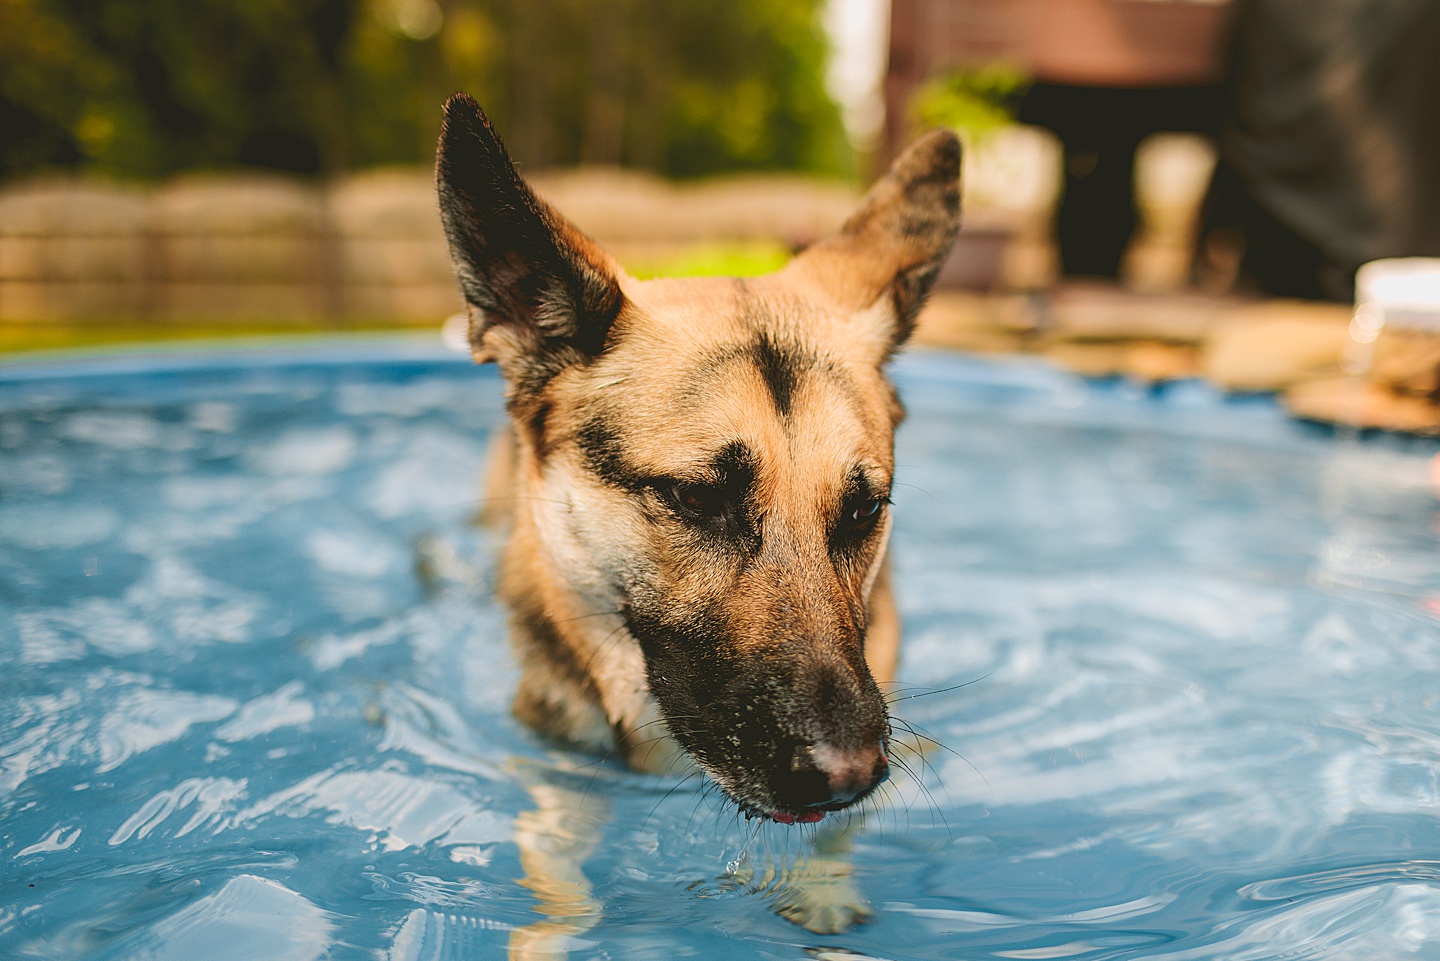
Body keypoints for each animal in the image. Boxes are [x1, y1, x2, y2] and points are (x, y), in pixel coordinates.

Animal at [432, 93, 961, 945]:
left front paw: (823, 890)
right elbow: (558, 884)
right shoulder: (554, 760)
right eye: (695, 498)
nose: (848, 774)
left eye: (862, 508)